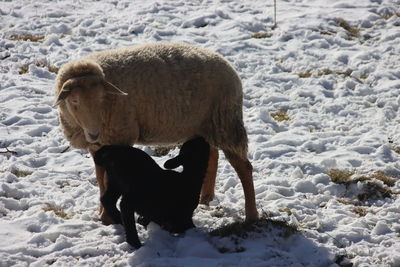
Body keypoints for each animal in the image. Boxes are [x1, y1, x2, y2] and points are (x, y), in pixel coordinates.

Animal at [53, 43, 258, 225]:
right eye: (74, 100)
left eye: (101, 97)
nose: (94, 134)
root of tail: (229, 67)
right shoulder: (97, 147)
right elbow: (100, 179)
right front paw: (103, 215)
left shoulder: (119, 138)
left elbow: (107, 178)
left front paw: (108, 216)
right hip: (202, 125)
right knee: (212, 154)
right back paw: (205, 198)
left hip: (226, 122)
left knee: (244, 168)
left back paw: (251, 215)